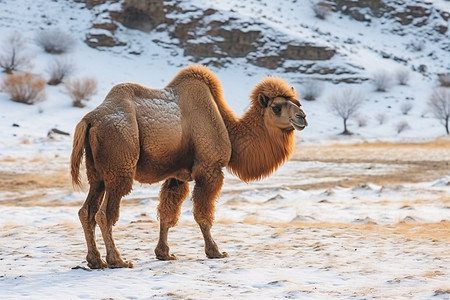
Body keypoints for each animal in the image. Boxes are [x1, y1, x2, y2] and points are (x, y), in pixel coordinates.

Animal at [71, 64, 310, 268]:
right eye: (276, 107)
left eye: (297, 103)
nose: (302, 117)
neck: (227, 127)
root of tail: (89, 120)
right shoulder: (210, 169)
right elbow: (203, 214)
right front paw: (216, 252)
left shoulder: (177, 175)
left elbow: (167, 213)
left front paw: (165, 254)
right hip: (119, 164)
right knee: (104, 213)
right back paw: (118, 260)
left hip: (97, 174)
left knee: (86, 211)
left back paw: (95, 261)